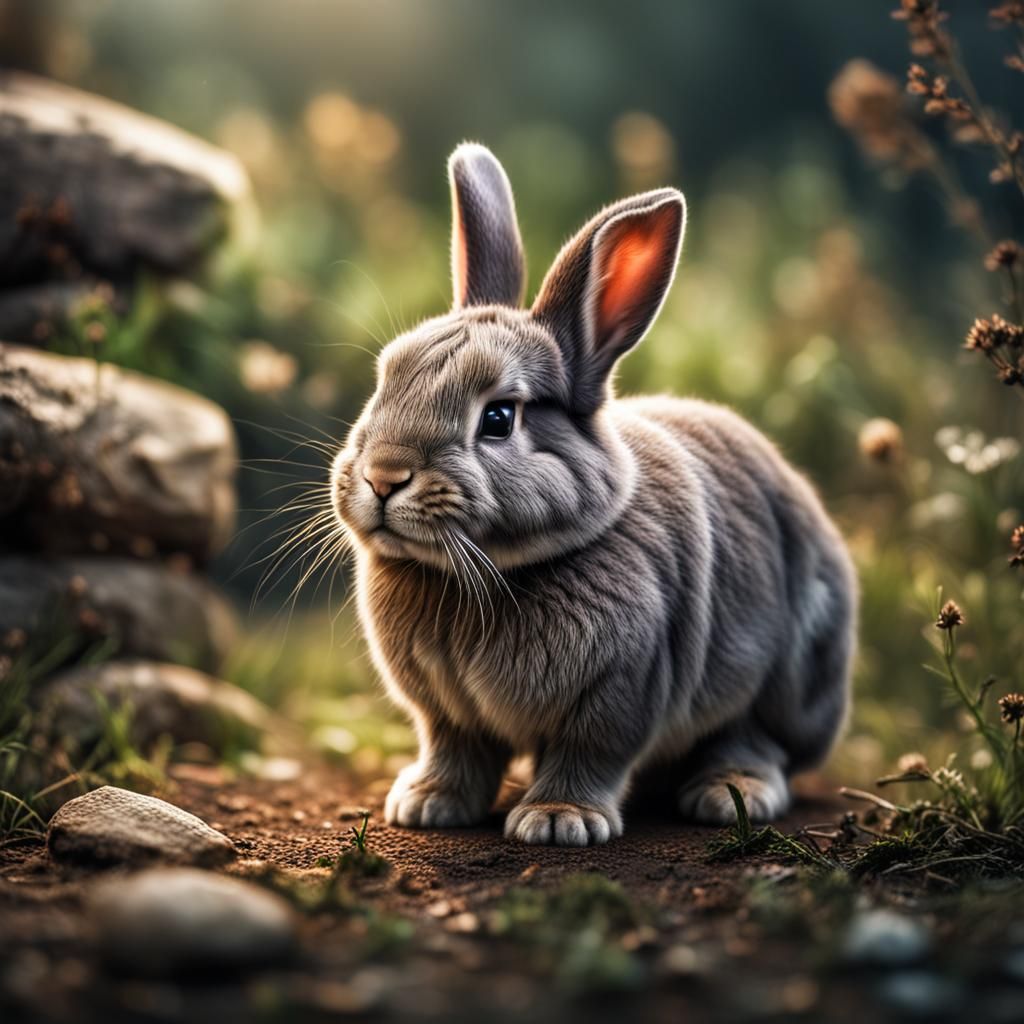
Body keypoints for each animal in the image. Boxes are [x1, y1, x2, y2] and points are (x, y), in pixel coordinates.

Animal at [330, 142, 857, 846]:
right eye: (385, 379)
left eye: (499, 418)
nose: (383, 476)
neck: (494, 568)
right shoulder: (446, 714)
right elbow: (455, 751)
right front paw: (427, 804)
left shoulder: (623, 687)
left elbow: (592, 753)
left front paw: (558, 821)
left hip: (782, 674)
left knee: (756, 741)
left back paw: (728, 794)